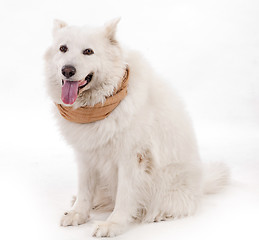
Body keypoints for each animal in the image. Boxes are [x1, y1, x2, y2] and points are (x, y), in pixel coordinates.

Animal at [44, 19, 230, 238]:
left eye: (88, 51)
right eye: (63, 48)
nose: (67, 70)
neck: (99, 104)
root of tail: (201, 184)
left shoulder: (132, 158)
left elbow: (124, 197)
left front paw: (113, 224)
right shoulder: (86, 154)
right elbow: (84, 190)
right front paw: (78, 213)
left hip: (170, 180)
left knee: (181, 204)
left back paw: (159, 212)